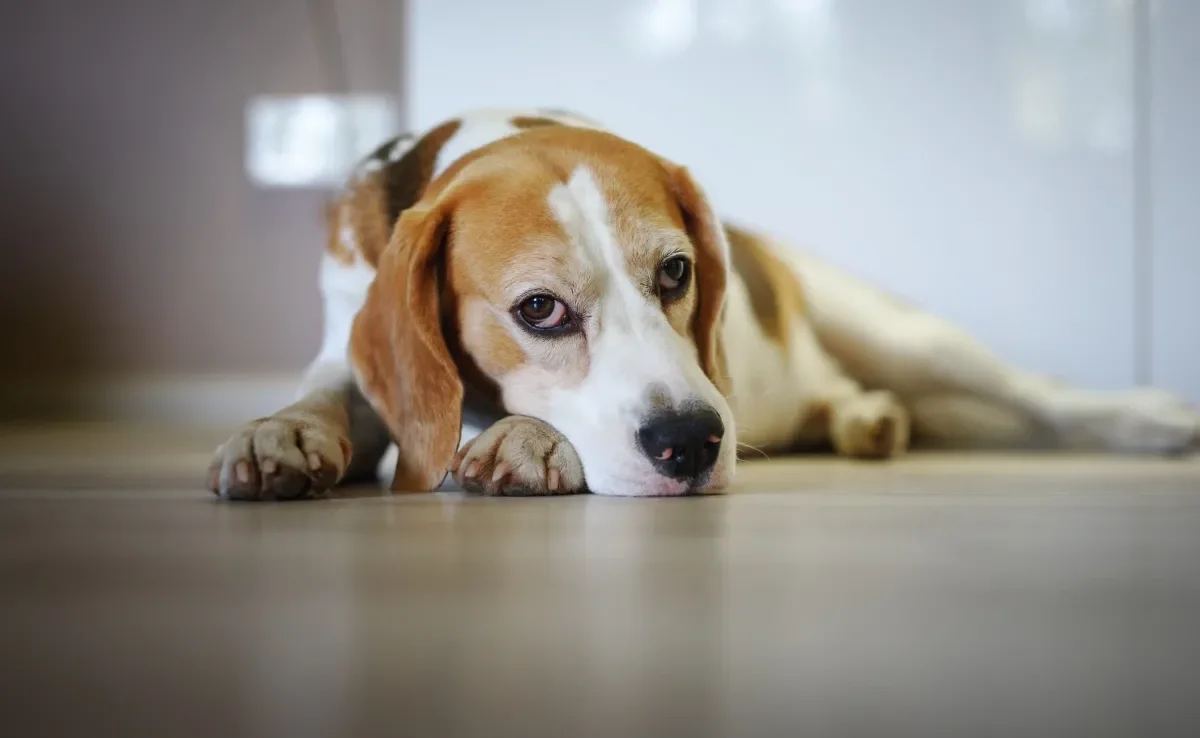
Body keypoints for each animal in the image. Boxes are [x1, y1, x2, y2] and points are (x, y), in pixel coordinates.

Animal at [208, 106, 1200, 499]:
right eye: (539, 311)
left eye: (677, 272)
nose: (690, 443)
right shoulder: (349, 342)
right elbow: (328, 393)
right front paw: (276, 435)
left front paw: (524, 440)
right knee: (847, 398)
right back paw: (862, 421)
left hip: (898, 331)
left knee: (1043, 394)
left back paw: (1152, 418)